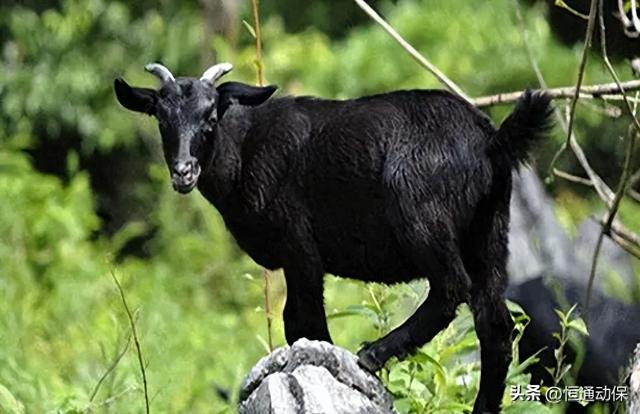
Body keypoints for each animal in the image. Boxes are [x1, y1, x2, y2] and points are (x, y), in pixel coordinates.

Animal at [112, 62, 552, 414]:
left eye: (210, 118)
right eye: (162, 120)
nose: (183, 171)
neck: (244, 149)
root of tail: (491, 142)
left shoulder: (299, 246)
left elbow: (301, 321)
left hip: (421, 214)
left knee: (451, 288)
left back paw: (374, 353)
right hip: (490, 232)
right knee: (495, 327)